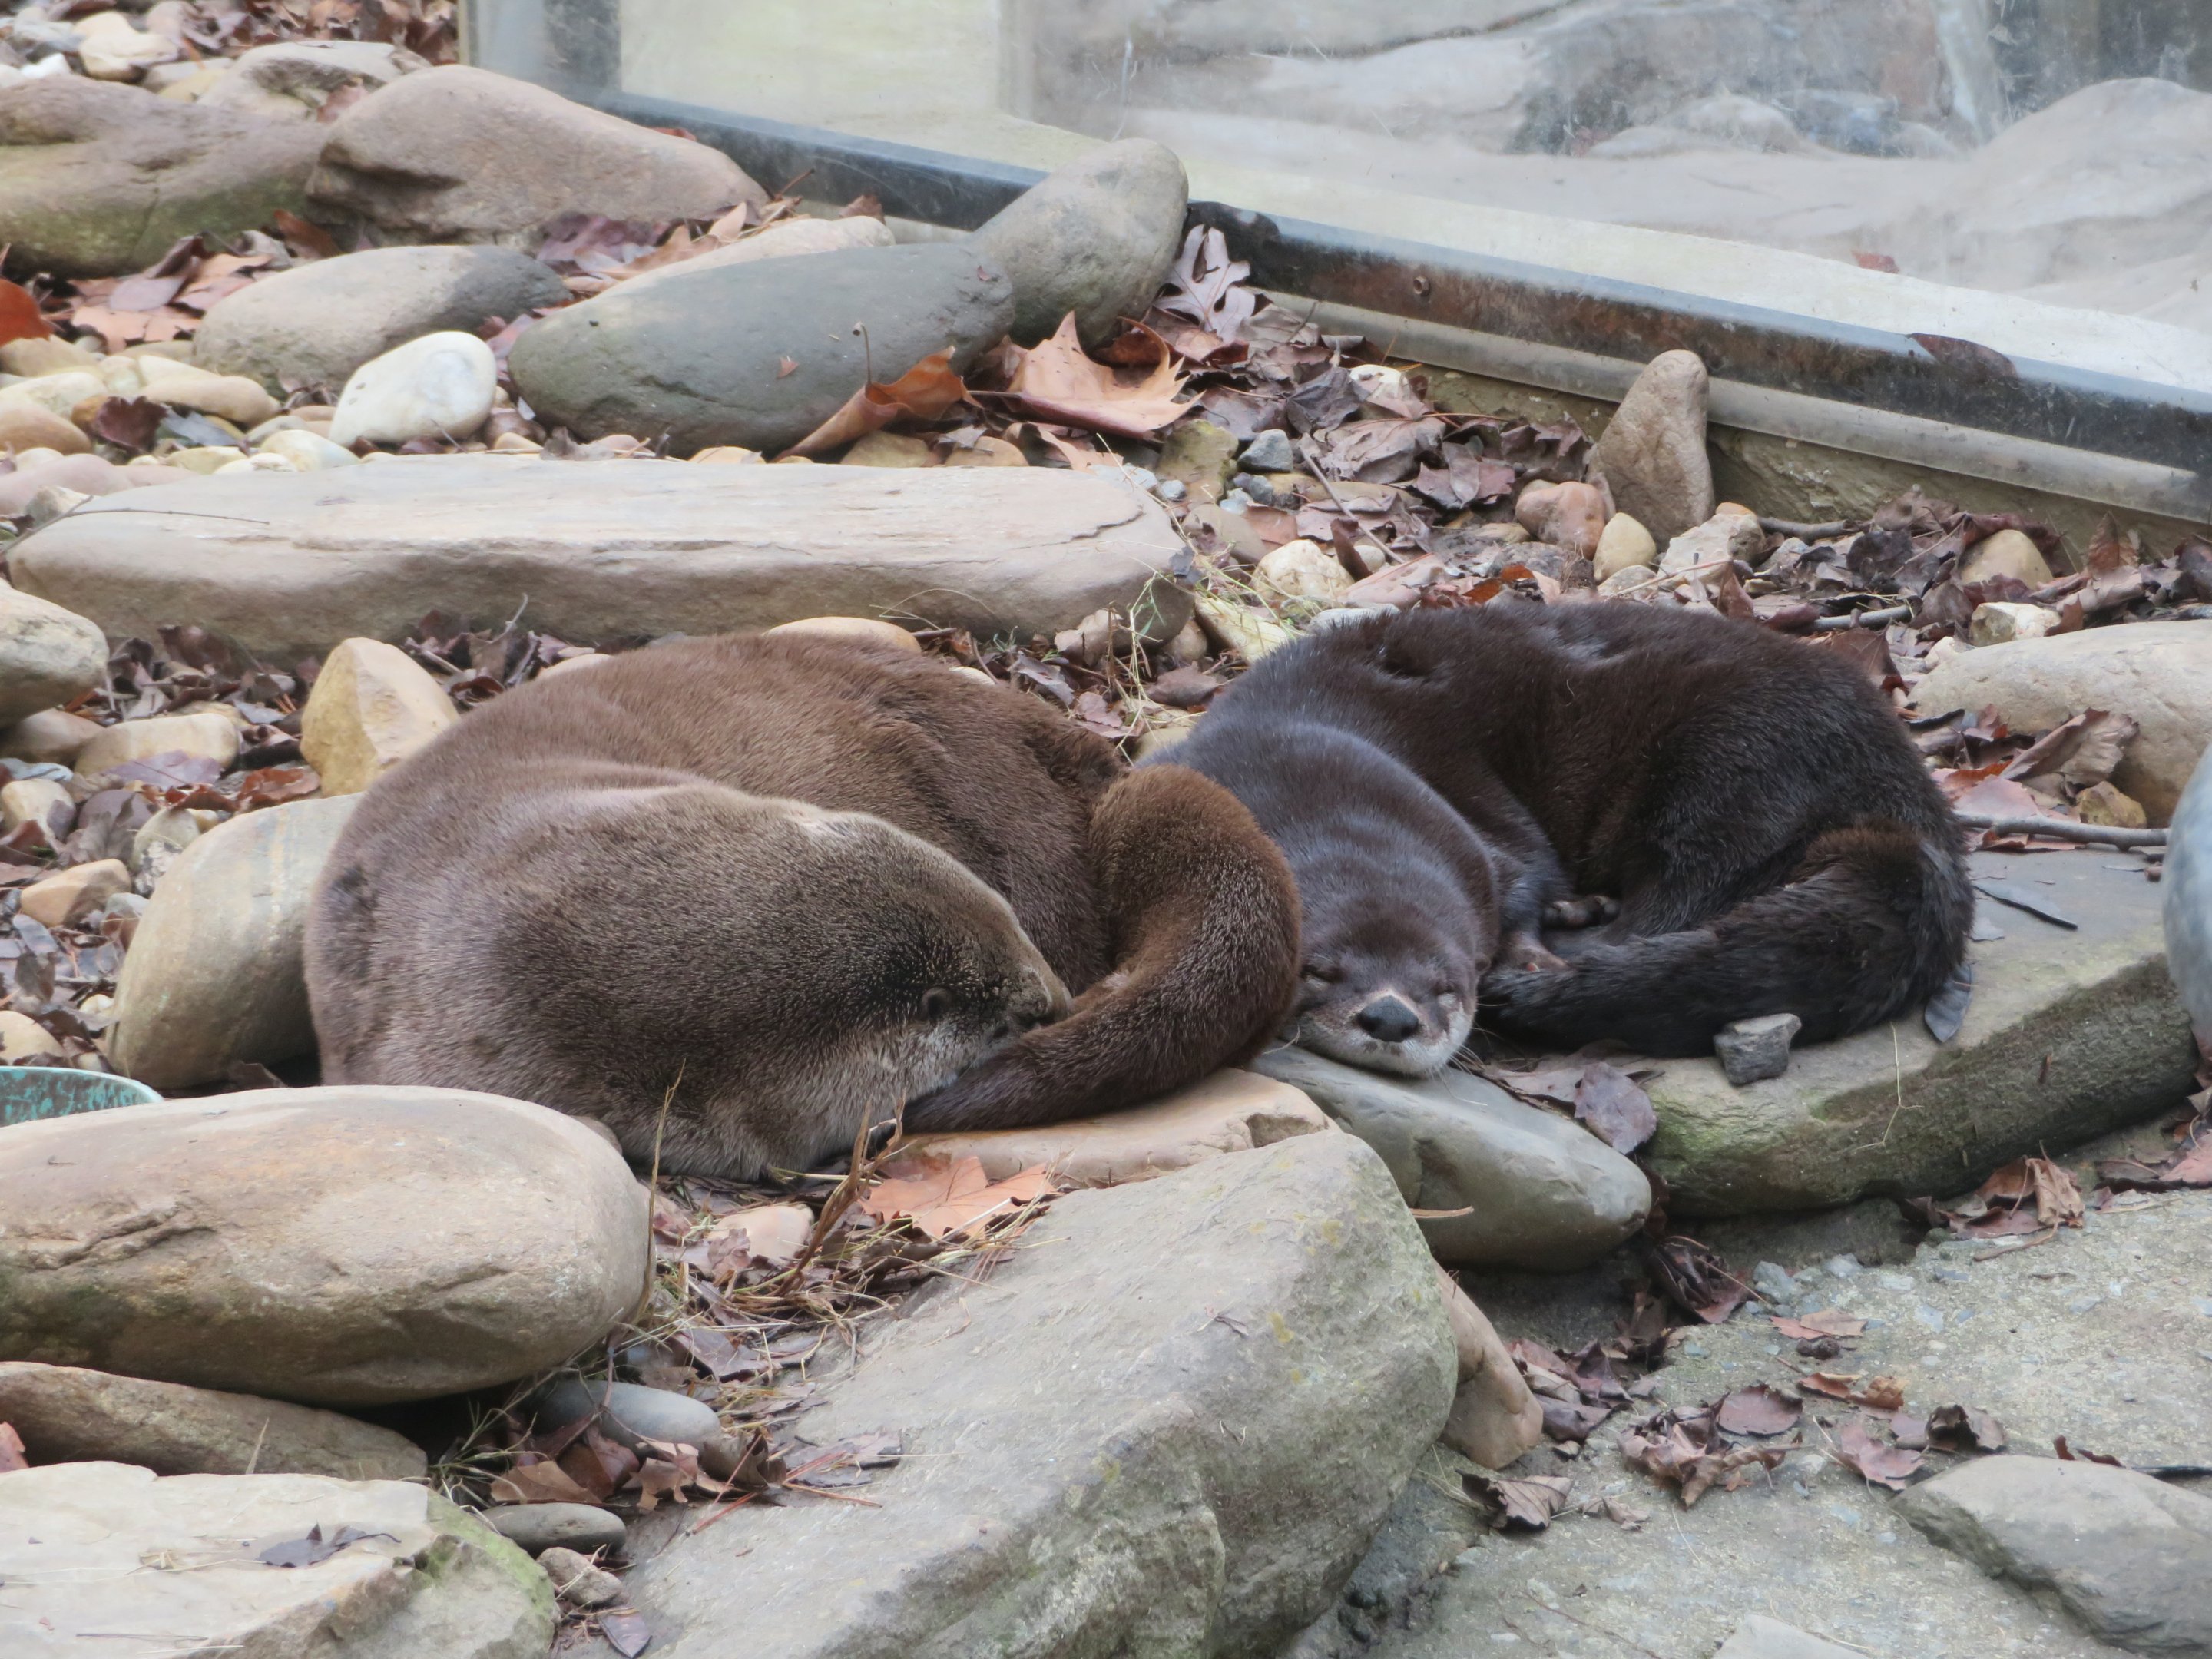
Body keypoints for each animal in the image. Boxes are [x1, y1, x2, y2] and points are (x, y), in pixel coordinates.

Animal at [1161, 602, 1970, 1068]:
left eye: (1446, 983)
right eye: (1321, 971)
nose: (1390, 1016)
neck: (1298, 736)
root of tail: (1914, 805)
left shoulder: (1483, 813)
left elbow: (1525, 874)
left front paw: (1531, 951)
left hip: (1736, 759)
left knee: (1686, 888)